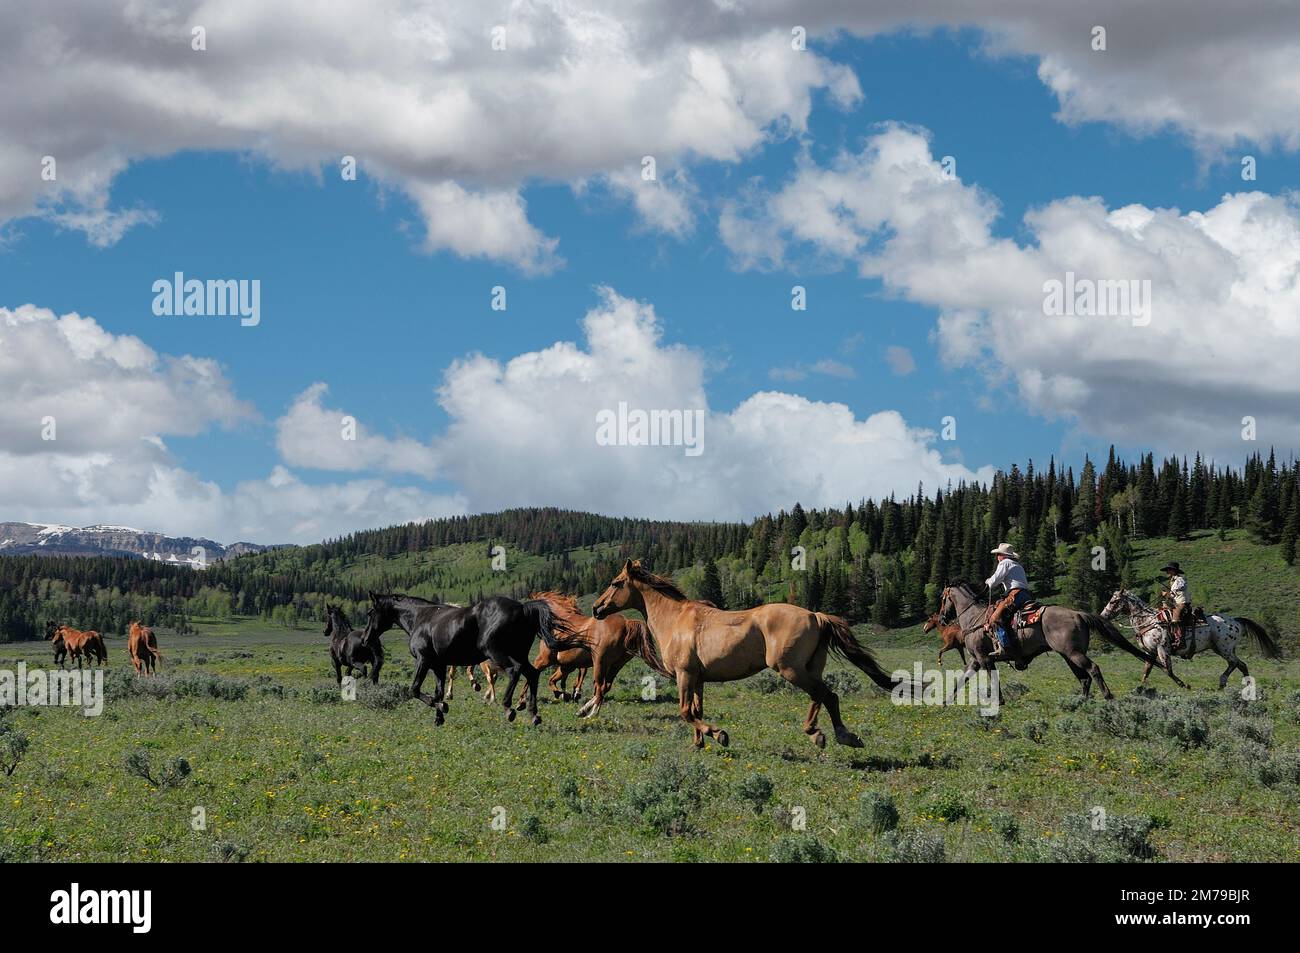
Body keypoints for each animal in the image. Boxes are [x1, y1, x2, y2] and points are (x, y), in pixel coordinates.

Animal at [366, 590, 590, 722]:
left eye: (370, 613)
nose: (367, 640)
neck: (420, 618)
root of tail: (523, 607)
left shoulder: (424, 660)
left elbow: (415, 690)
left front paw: (442, 708)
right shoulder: (439, 665)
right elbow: (438, 691)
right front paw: (440, 715)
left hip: (496, 652)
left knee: (515, 671)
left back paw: (509, 708)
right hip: (521, 654)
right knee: (532, 674)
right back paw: (533, 713)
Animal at [520, 587, 670, 712]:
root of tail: (626, 623)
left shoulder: (545, 660)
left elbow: (534, 675)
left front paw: (521, 701)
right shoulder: (567, 666)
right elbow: (554, 680)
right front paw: (565, 695)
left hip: (600, 662)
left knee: (600, 686)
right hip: (616, 664)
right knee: (605, 686)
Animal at [592, 556, 915, 748]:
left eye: (616, 583)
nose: (596, 608)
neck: (676, 621)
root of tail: (815, 616)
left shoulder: (684, 675)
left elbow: (685, 711)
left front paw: (719, 735)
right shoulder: (697, 678)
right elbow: (696, 710)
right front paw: (699, 743)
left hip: (790, 669)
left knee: (827, 694)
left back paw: (831, 735)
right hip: (809, 668)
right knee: (823, 696)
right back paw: (827, 734)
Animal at [1097, 587, 1279, 686]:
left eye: (1113, 601)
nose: (1103, 616)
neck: (1148, 620)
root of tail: (1235, 620)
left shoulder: (1163, 650)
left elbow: (1168, 670)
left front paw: (1184, 685)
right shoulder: (1151, 652)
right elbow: (1146, 670)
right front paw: (1141, 688)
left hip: (1224, 649)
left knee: (1235, 663)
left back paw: (1222, 682)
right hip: (1222, 649)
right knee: (1242, 665)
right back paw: (1246, 685)